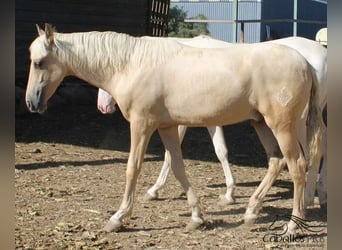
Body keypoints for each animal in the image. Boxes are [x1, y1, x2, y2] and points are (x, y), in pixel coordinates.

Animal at [97, 35, 328, 211]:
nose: (103, 107)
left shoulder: (181, 121)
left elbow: (173, 155)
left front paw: (153, 190)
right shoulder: (208, 120)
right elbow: (220, 150)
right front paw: (229, 193)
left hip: (297, 122)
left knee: (311, 153)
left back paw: (308, 199)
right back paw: (319, 195)